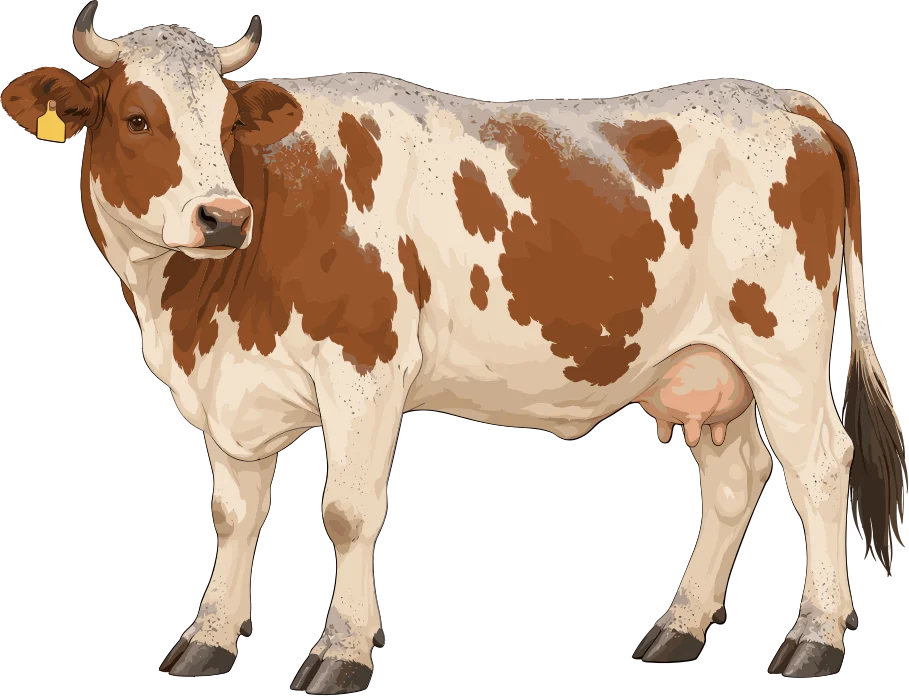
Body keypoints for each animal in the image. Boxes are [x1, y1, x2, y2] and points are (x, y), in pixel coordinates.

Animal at [1, 3, 904, 690]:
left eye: (227, 123)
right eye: (135, 118)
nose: (223, 217)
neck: (197, 315)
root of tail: (778, 98)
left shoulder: (364, 369)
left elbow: (348, 512)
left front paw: (341, 652)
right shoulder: (229, 391)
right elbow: (232, 515)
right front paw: (208, 639)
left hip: (781, 344)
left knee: (819, 465)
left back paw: (815, 639)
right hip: (708, 364)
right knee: (734, 476)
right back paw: (677, 627)